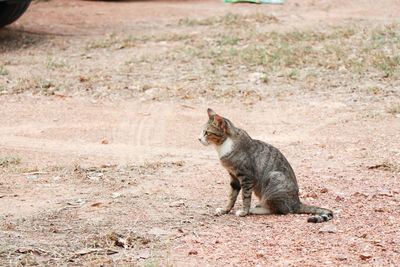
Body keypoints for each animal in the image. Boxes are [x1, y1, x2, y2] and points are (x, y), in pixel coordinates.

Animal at [198, 108, 332, 223]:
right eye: (202, 131)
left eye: (206, 132)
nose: (198, 138)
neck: (224, 145)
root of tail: (297, 202)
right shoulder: (234, 177)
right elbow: (231, 196)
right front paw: (225, 209)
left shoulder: (247, 177)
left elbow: (245, 196)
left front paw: (244, 212)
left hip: (273, 178)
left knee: (284, 210)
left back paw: (255, 210)